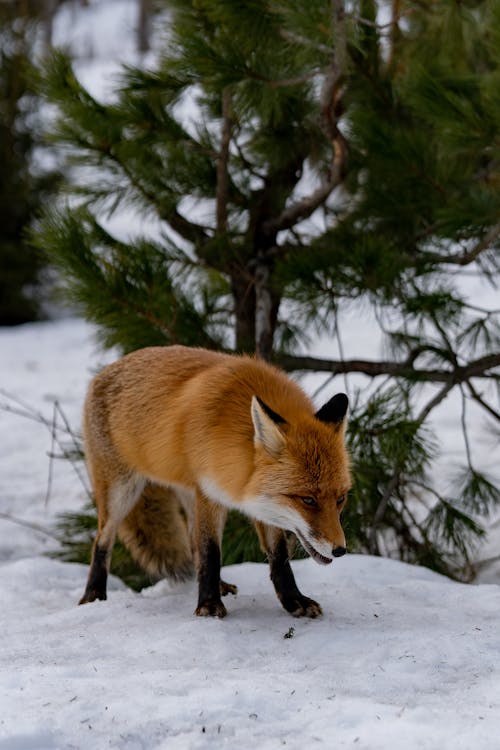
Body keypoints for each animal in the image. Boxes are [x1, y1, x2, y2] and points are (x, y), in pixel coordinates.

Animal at [79, 346, 352, 616]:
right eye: (308, 500)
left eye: (340, 499)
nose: (340, 550)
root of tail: (103, 372)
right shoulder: (209, 492)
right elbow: (211, 552)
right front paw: (209, 605)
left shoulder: (262, 502)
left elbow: (278, 555)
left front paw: (293, 600)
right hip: (120, 493)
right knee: (102, 541)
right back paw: (93, 595)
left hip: (186, 493)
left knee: (192, 543)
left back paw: (219, 585)